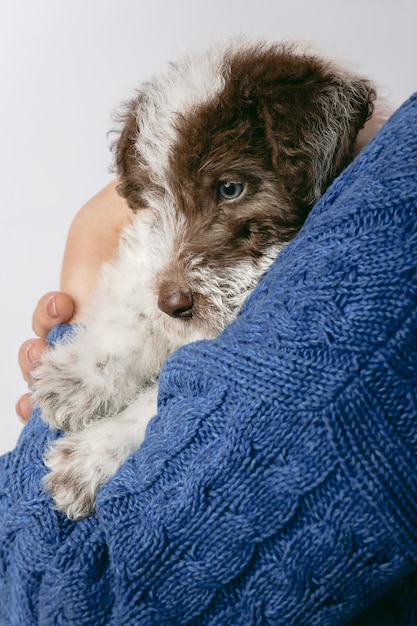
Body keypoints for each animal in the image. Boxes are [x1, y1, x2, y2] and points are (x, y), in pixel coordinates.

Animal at [32, 40, 380, 516]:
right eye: (157, 198)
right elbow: (134, 316)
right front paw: (78, 379)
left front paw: (89, 458)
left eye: (230, 188)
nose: (176, 305)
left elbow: (166, 404)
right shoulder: (146, 257)